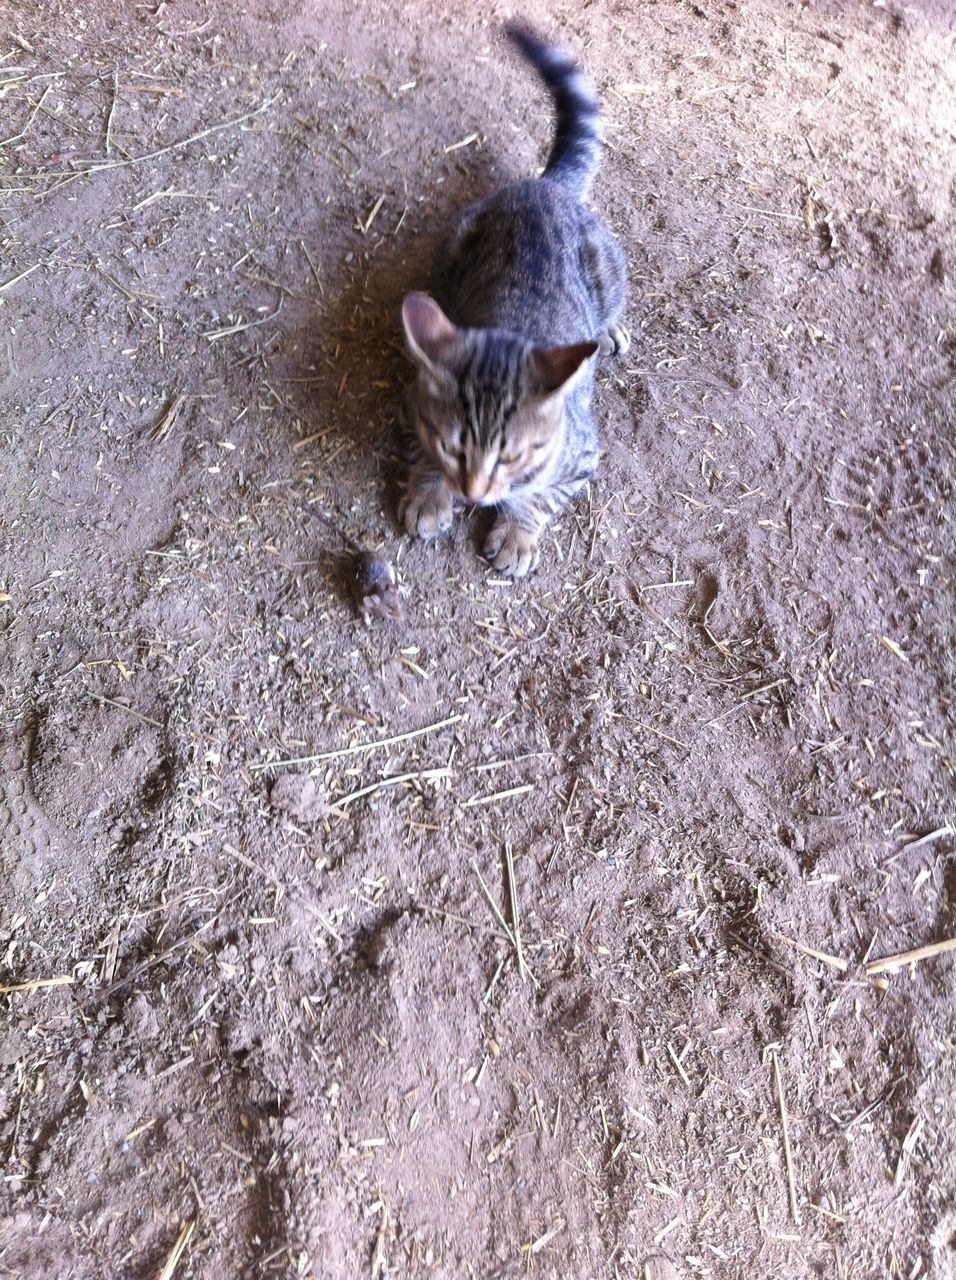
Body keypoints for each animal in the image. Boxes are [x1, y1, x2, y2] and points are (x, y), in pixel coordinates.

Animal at [399, 24, 632, 578]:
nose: (474, 493)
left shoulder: (583, 454)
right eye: (452, 446)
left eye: (510, 457)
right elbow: (421, 452)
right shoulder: (412, 407)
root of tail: (544, 186)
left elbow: (541, 497)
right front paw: (429, 493)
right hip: (453, 241)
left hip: (612, 265)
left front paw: (517, 532)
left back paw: (610, 328)